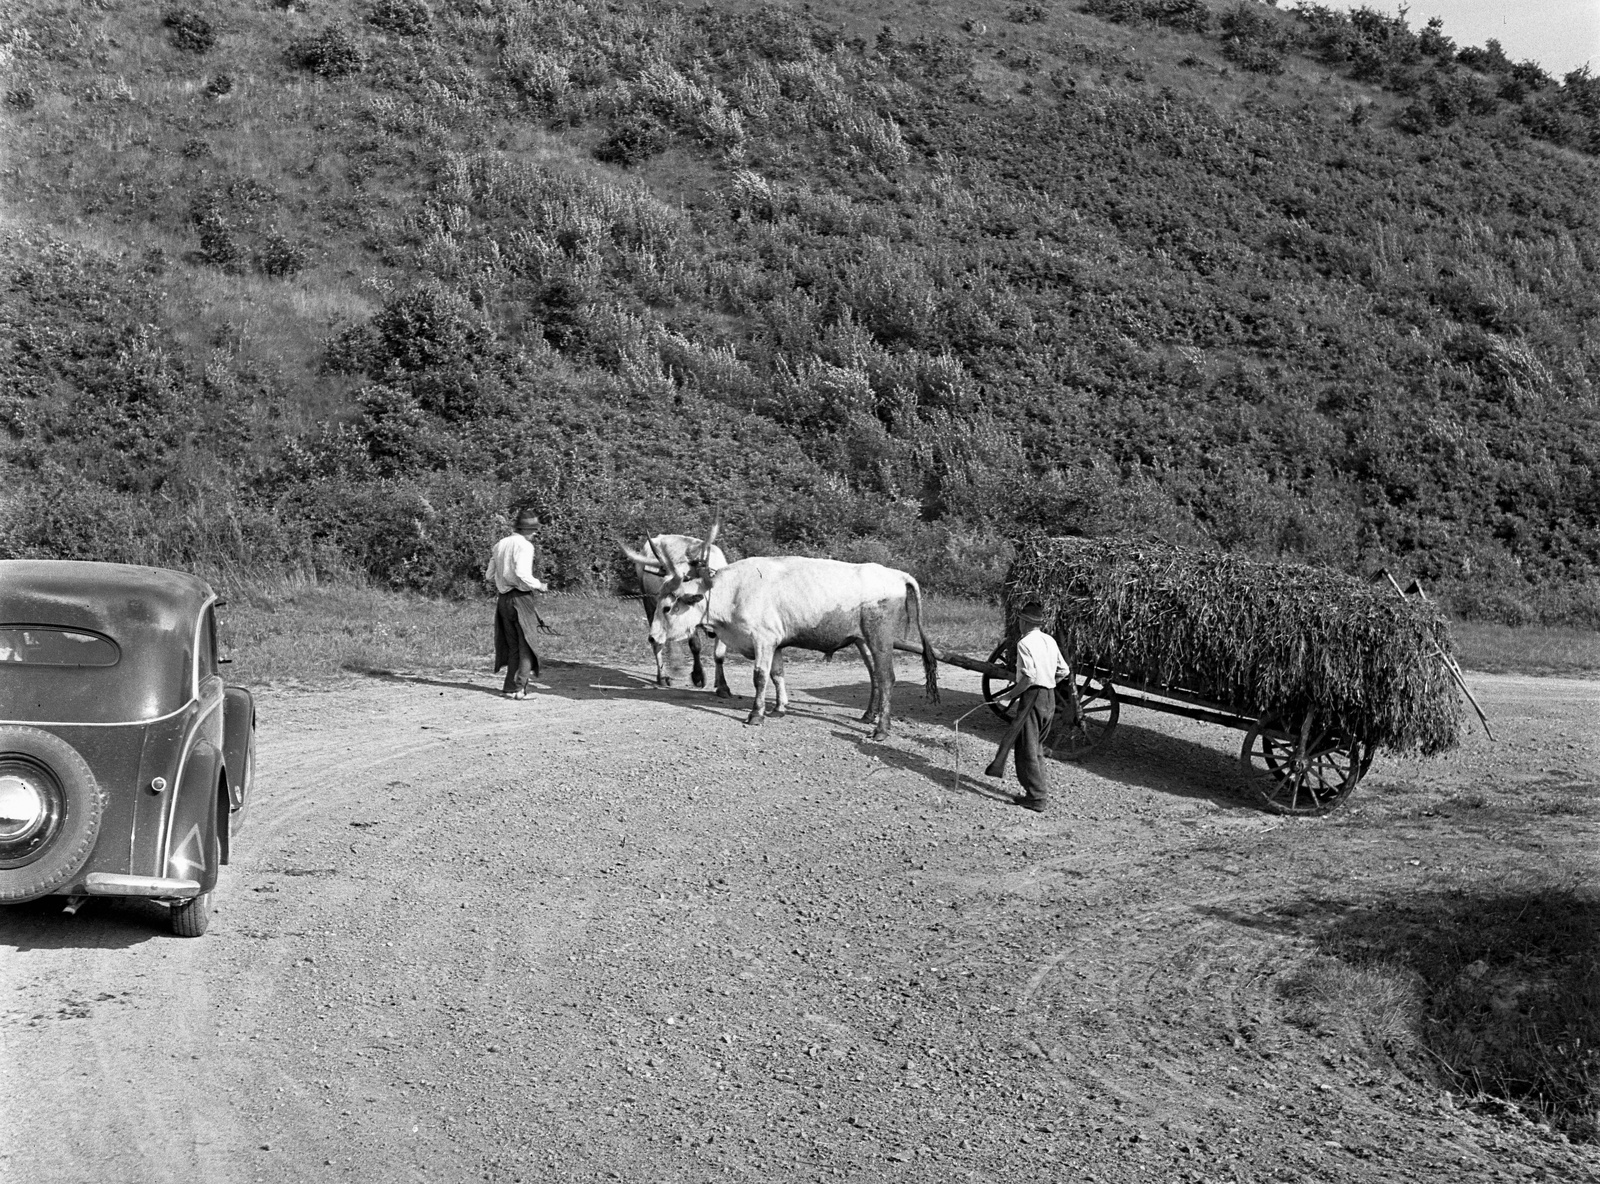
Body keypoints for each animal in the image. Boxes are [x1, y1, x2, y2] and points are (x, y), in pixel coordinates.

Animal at [623, 531, 733, 697]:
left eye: (687, 577)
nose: (665, 589)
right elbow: (695, 646)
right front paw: (698, 676)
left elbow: (719, 655)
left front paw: (722, 686)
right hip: (649, 605)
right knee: (658, 642)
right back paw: (663, 676)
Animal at [646, 539, 940, 740]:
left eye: (667, 607)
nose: (652, 637)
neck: (735, 590)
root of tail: (896, 574)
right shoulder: (775, 643)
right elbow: (777, 675)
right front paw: (779, 708)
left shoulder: (762, 639)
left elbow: (760, 677)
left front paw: (756, 714)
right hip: (862, 640)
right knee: (875, 676)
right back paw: (868, 715)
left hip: (880, 638)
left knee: (887, 677)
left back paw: (881, 729)